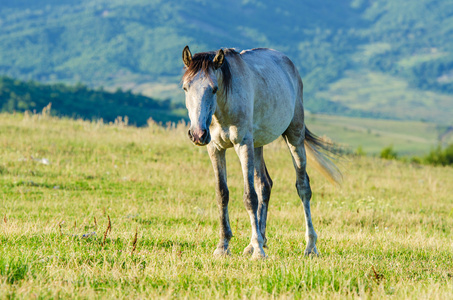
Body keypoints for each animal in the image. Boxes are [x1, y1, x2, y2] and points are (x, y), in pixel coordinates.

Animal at [180, 45, 340, 258]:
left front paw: (258, 251)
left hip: (294, 135)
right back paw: (257, 242)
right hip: (257, 145)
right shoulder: (215, 149)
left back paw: (310, 246)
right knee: (264, 185)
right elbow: (222, 194)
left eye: (214, 89)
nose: (198, 134)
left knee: (303, 187)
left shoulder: (243, 145)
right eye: (185, 87)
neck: (224, 106)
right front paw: (223, 246)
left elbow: (250, 197)